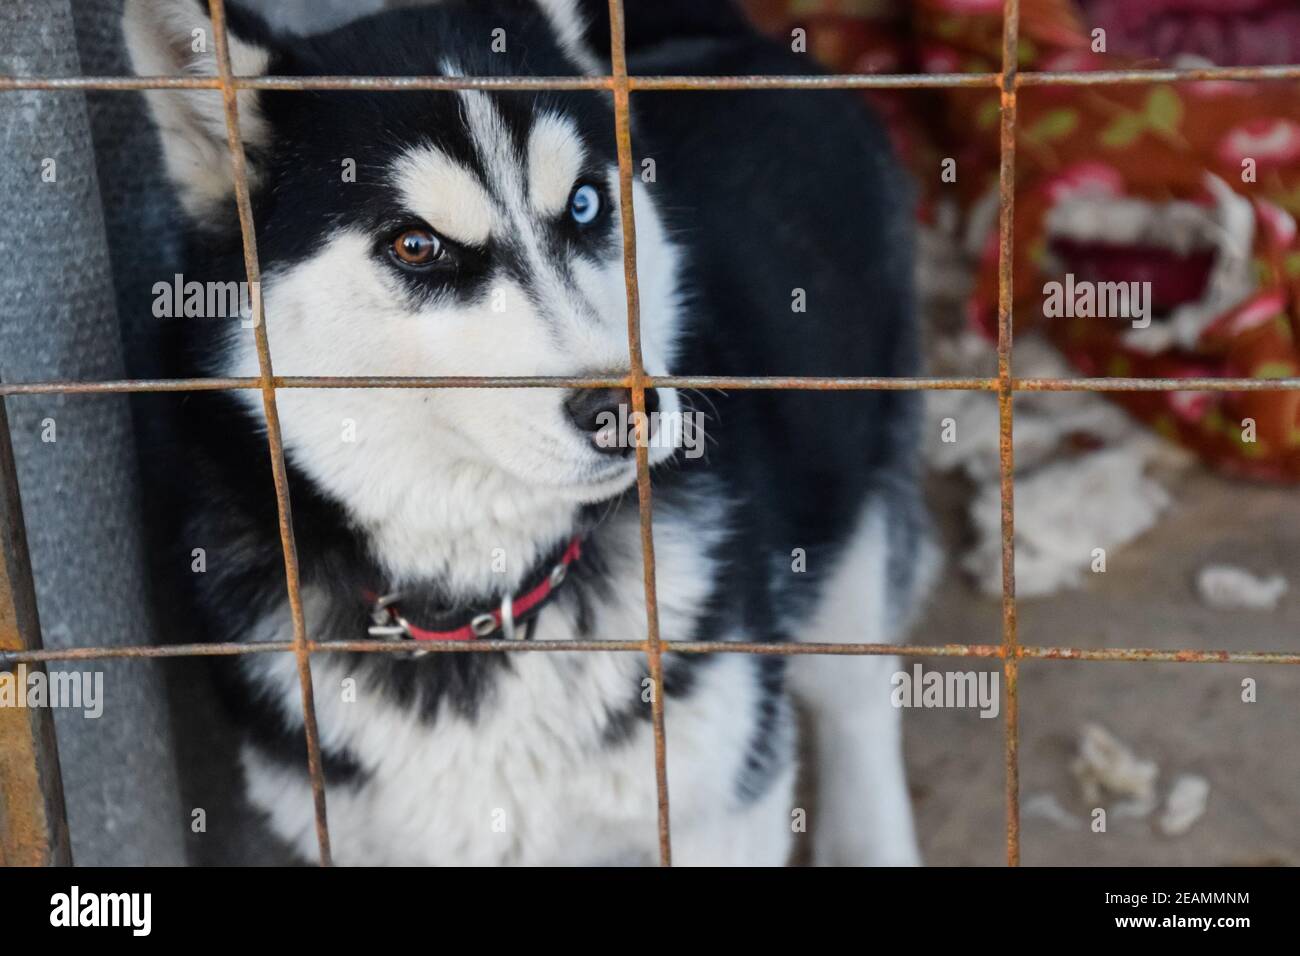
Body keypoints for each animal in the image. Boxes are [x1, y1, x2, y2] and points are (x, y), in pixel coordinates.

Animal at [124, 0, 935, 868]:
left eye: (583, 203)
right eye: (416, 244)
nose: (626, 409)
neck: (485, 606)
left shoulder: (722, 809)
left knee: (858, 700)